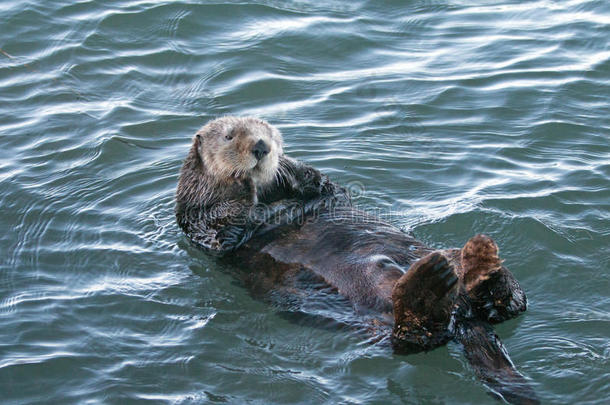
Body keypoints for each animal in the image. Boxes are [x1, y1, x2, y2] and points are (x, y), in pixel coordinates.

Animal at [176, 115, 536, 402]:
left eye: (270, 133)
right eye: (229, 136)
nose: (262, 147)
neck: (269, 200)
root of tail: (464, 318)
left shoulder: (325, 193)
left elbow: (324, 184)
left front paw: (286, 167)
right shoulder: (197, 220)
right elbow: (219, 228)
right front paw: (241, 182)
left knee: (512, 304)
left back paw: (480, 263)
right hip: (378, 327)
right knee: (415, 340)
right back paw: (432, 284)